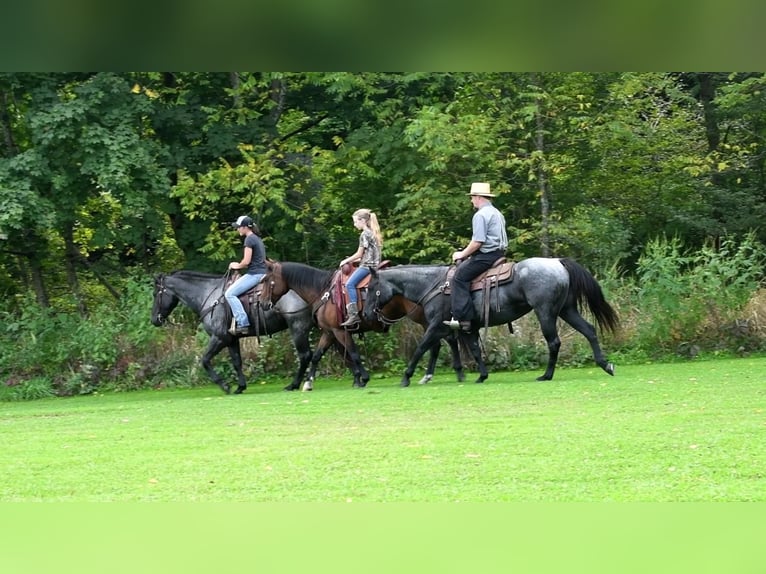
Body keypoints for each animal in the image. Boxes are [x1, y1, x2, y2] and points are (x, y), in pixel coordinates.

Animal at [152, 272, 316, 394]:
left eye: (155, 294)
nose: (154, 320)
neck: (209, 296)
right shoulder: (231, 340)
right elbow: (237, 362)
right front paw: (240, 387)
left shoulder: (219, 338)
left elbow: (205, 360)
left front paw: (225, 386)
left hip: (298, 329)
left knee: (305, 355)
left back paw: (294, 384)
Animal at [264, 262, 468, 390]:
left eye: (266, 280)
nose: (264, 303)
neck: (323, 292)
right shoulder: (329, 332)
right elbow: (317, 355)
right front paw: (308, 383)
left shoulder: (339, 331)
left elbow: (353, 353)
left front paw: (363, 378)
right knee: (439, 343)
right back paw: (431, 376)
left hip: (426, 320)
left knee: (443, 341)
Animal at [364, 260, 620, 388]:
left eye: (369, 287)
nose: (366, 313)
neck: (434, 285)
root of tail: (558, 262)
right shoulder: (467, 327)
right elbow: (476, 350)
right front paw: (482, 376)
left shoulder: (436, 326)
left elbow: (421, 349)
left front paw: (406, 377)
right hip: (567, 310)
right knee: (589, 330)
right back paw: (605, 364)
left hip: (545, 312)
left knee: (554, 342)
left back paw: (546, 375)